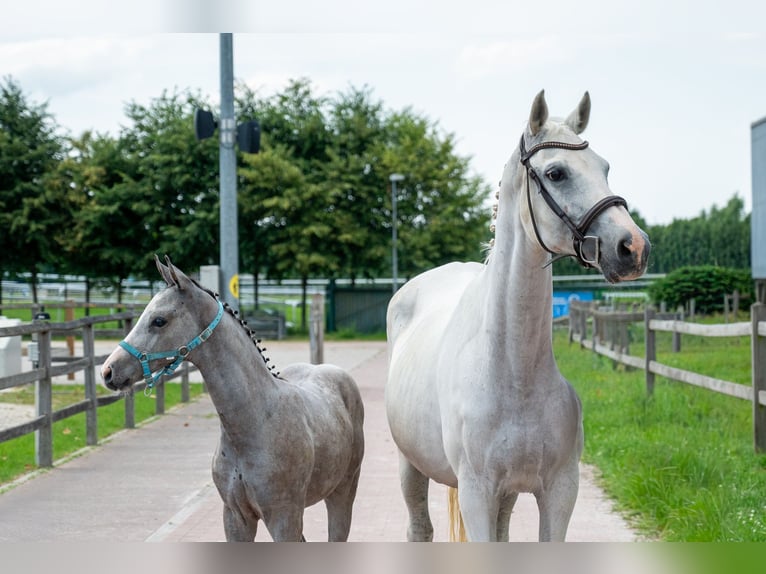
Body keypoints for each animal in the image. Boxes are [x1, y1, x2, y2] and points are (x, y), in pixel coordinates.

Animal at [101, 256, 365, 542]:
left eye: (159, 320)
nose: (109, 371)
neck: (256, 423)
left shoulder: (284, 517)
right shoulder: (235, 517)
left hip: (342, 492)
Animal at [385, 90, 650, 542]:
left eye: (605, 167)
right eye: (556, 173)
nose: (633, 246)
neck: (514, 372)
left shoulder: (560, 491)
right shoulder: (476, 493)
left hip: (506, 494)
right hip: (410, 466)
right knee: (419, 528)